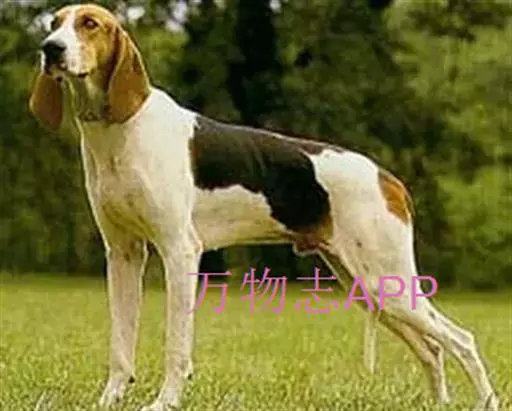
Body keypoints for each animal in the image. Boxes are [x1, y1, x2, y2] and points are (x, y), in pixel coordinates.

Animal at [29, 4, 499, 411]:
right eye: (53, 22)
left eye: (89, 24)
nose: (50, 48)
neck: (117, 132)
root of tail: (388, 179)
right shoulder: (124, 255)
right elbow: (120, 345)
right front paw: (109, 400)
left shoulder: (180, 252)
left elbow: (176, 345)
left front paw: (165, 402)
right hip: (369, 286)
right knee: (432, 349)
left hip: (388, 283)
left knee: (462, 341)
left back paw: (486, 401)